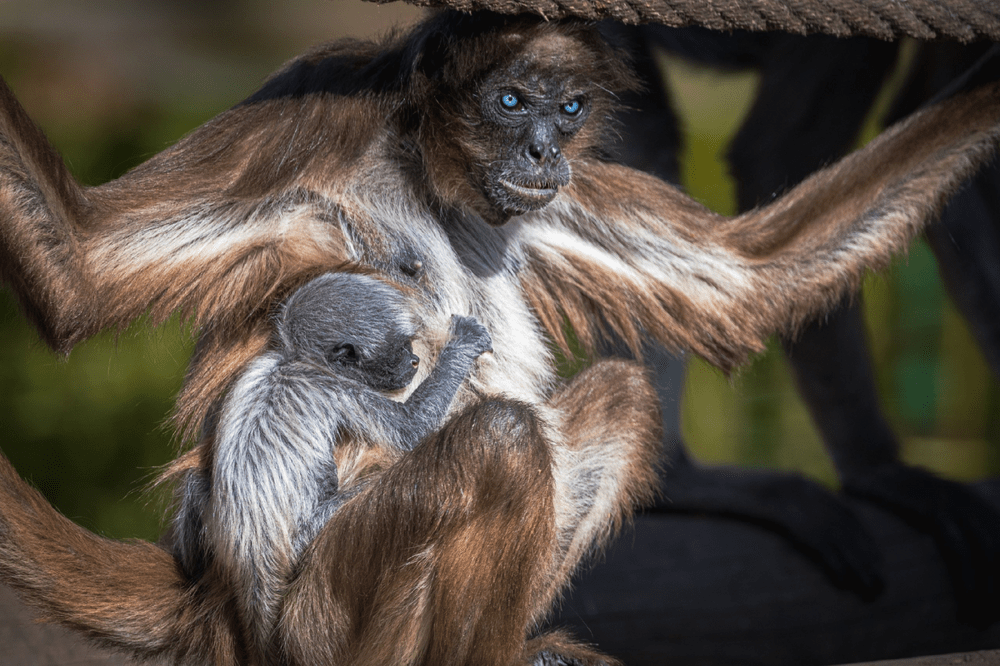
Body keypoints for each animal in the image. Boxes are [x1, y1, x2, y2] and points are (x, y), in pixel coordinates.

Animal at [0, 10, 1000, 664]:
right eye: (512, 102)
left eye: (566, 110)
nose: (543, 152)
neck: (428, 174)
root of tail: (215, 599)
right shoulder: (309, 123)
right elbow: (83, 266)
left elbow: (748, 280)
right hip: (330, 619)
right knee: (504, 440)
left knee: (615, 396)